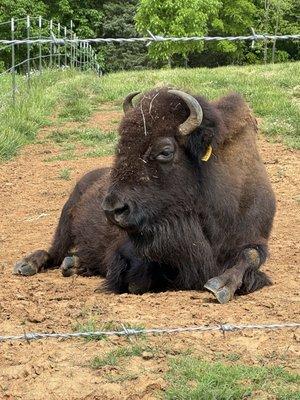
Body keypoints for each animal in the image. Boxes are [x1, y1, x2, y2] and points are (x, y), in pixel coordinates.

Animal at [14, 86, 276, 302]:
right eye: (121, 146)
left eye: (165, 151)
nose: (113, 209)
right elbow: (136, 277)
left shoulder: (254, 237)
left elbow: (251, 256)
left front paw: (220, 286)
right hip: (65, 220)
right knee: (53, 251)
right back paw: (27, 264)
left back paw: (74, 263)